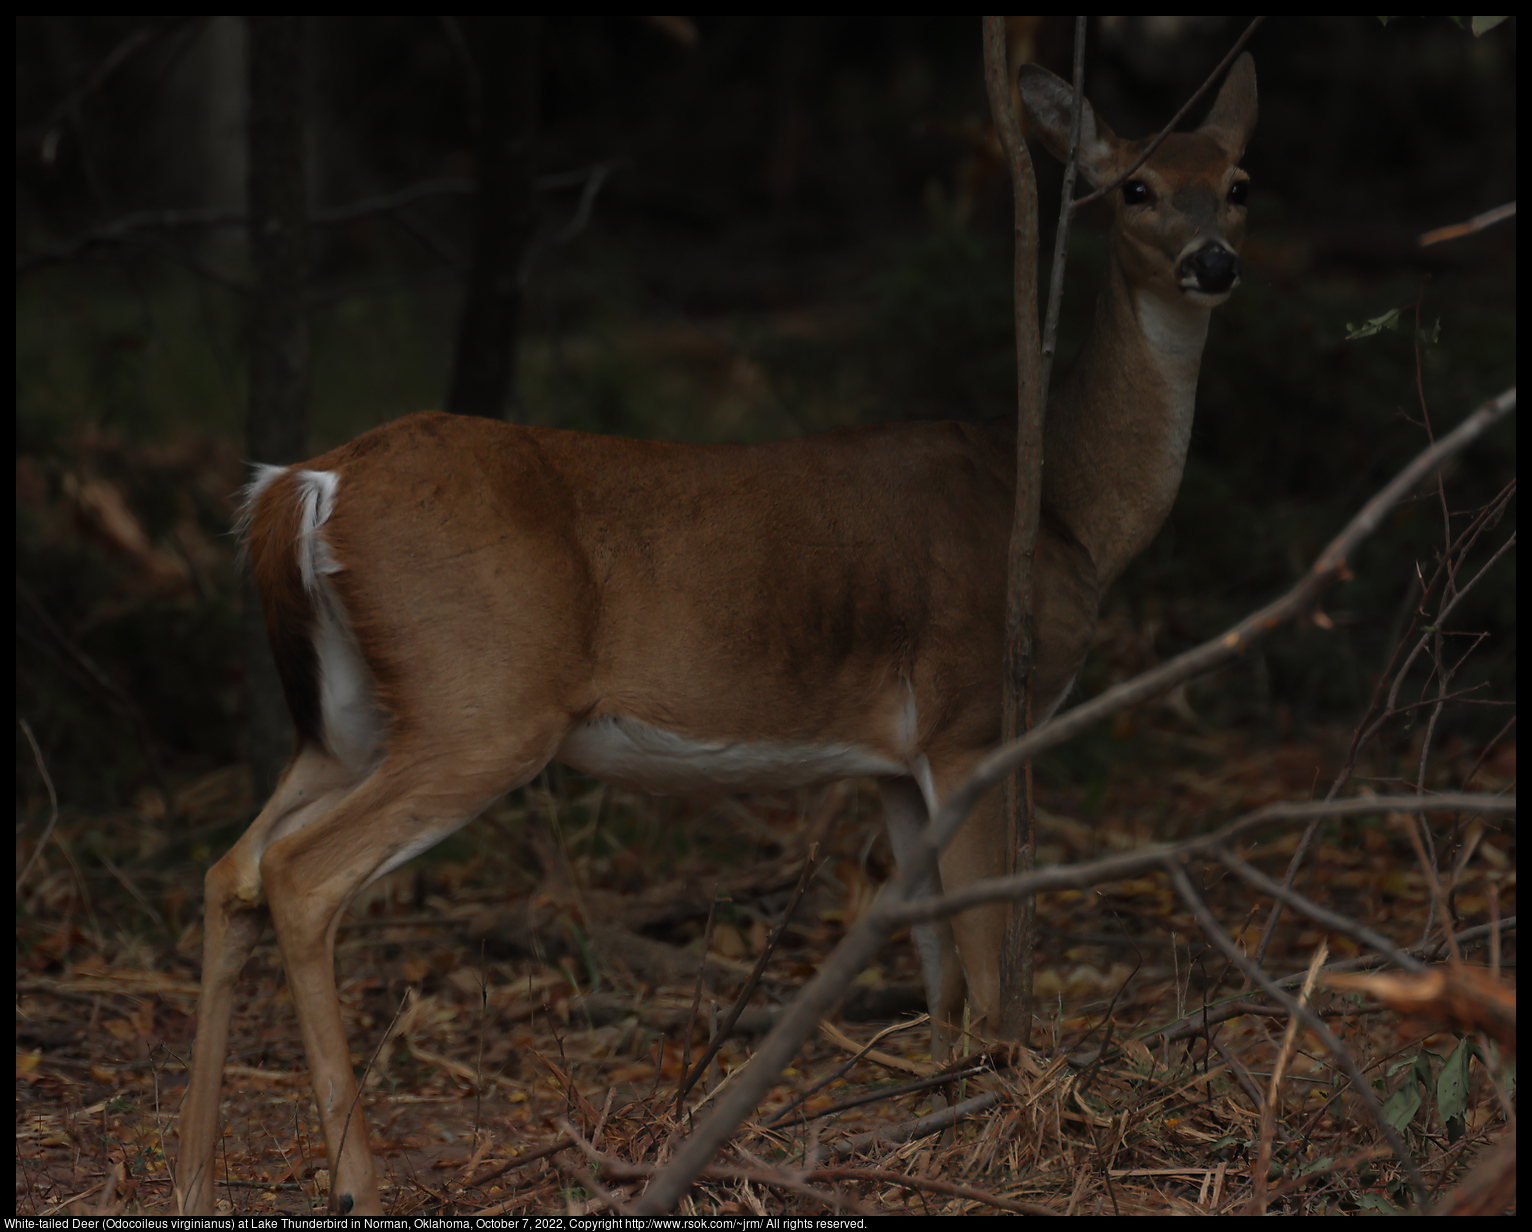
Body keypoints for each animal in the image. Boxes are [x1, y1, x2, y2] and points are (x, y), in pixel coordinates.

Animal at [179, 55, 1256, 1213]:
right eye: (1136, 188)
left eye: (1239, 183)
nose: (1212, 262)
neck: (1068, 509)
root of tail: (300, 486)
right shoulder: (971, 713)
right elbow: (984, 940)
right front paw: (1006, 1129)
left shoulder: (894, 759)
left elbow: (931, 959)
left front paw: (936, 1120)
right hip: (483, 703)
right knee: (302, 874)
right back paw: (354, 1183)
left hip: (351, 719)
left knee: (234, 868)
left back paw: (191, 1177)